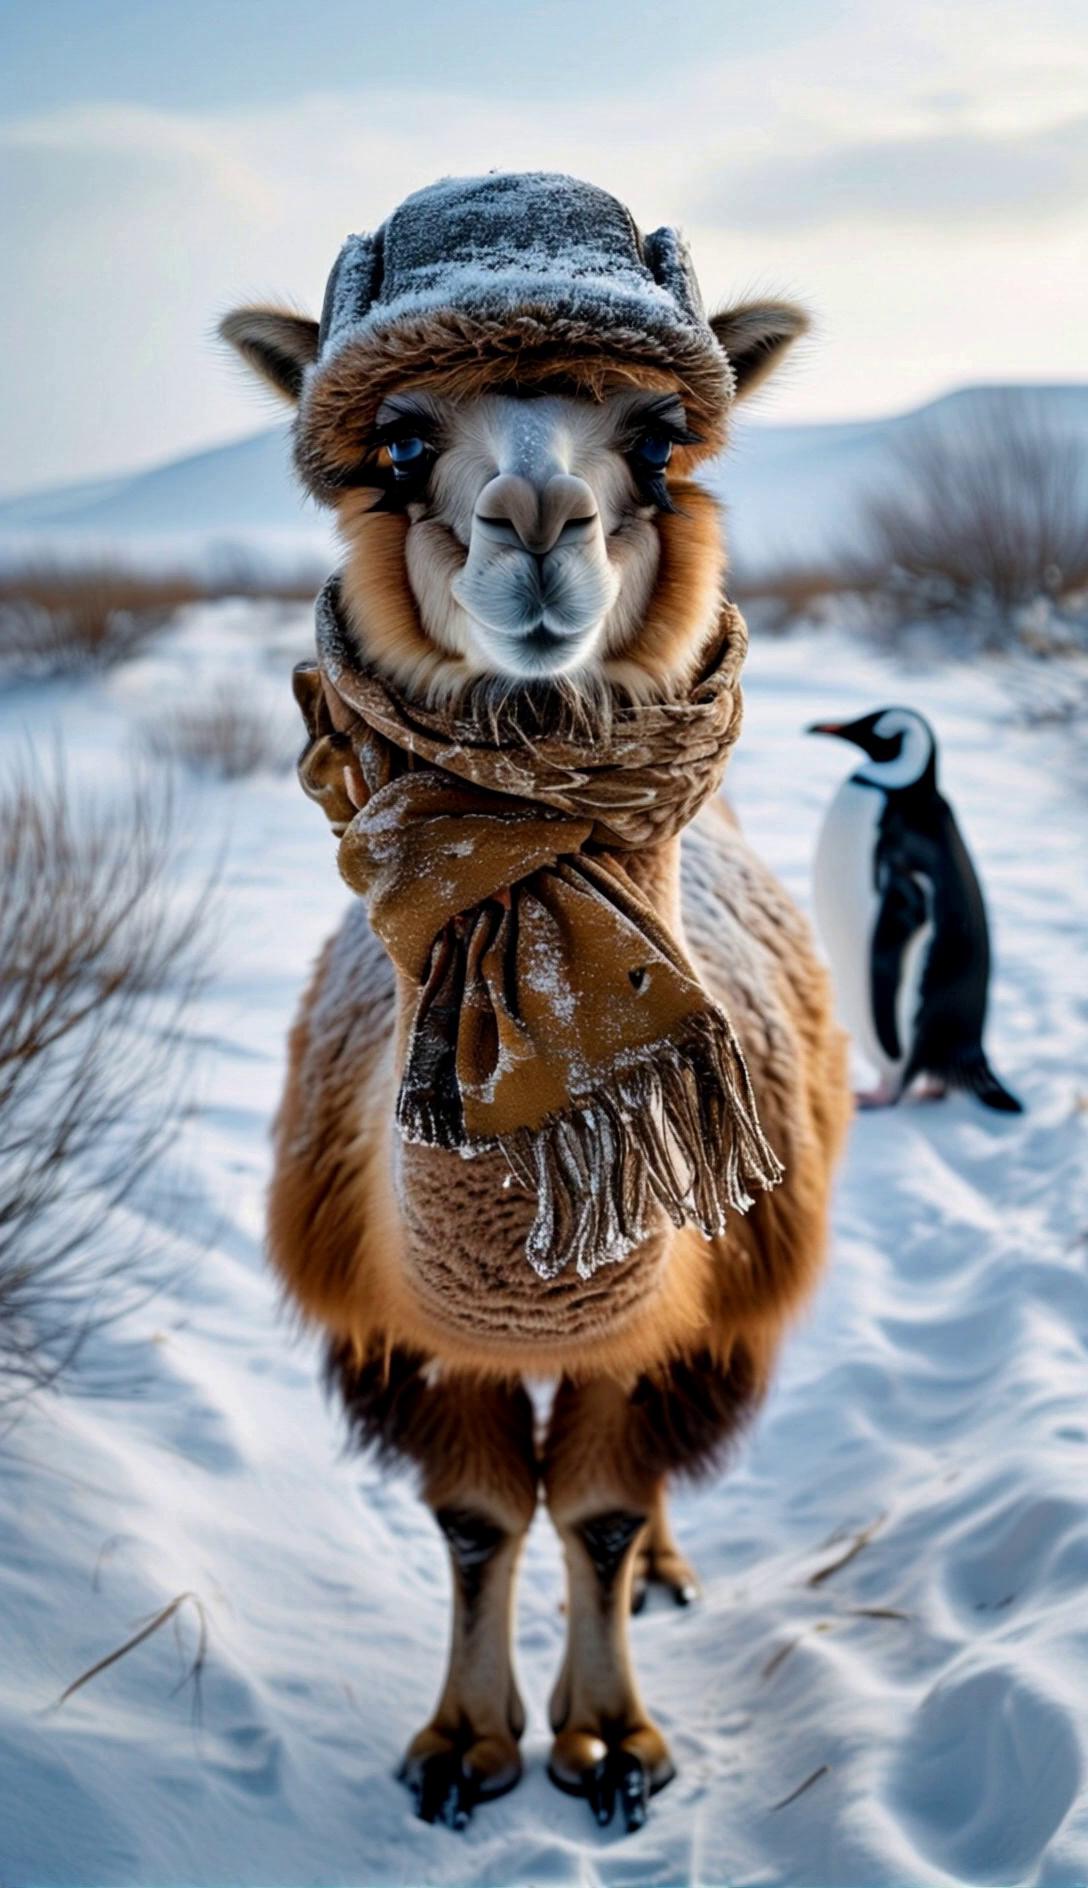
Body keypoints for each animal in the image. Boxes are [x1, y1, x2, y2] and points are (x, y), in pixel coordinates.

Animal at [222, 171, 850, 1835]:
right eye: (398, 443)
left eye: (657, 438)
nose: (538, 523)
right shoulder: (412, 1338)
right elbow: (480, 1521)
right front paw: (463, 1747)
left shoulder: (689, 1322)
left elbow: (606, 1513)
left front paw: (614, 1746)